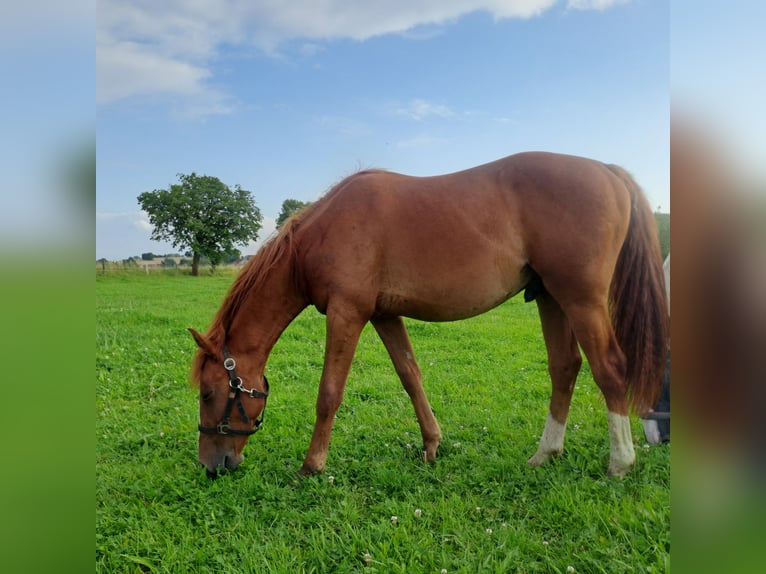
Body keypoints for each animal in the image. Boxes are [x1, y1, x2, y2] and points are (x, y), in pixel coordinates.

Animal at [189, 153, 668, 482]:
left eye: (209, 393)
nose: (212, 465)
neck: (321, 235)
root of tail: (607, 170)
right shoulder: (384, 316)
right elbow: (411, 376)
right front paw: (432, 445)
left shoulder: (347, 313)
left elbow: (329, 392)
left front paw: (312, 465)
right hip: (550, 297)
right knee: (565, 368)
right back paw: (545, 453)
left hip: (581, 300)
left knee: (609, 368)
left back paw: (620, 462)